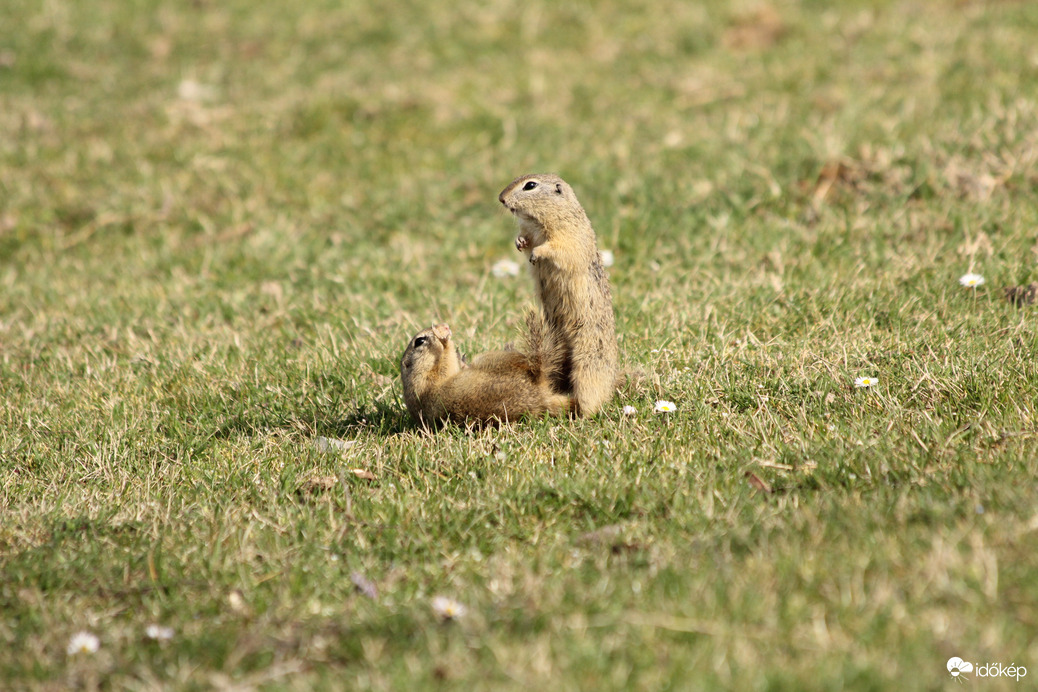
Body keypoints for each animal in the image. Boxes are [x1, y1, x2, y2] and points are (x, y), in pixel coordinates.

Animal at [398, 315, 577, 425]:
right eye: (419, 341)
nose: (445, 325)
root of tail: (541, 396)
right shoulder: (430, 381)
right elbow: (446, 362)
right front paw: (444, 339)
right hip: (491, 359)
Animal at [498, 173, 618, 417]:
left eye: (530, 185)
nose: (501, 198)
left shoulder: (569, 236)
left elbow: (558, 249)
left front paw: (537, 253)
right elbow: (527, 242)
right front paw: (520, 242)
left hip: (589, 361)